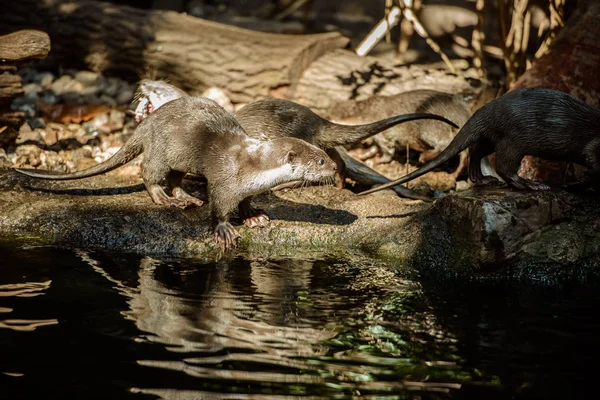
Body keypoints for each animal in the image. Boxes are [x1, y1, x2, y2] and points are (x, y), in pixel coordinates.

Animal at [15, 96, 338, 250]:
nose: (335, 167)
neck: (253, 166)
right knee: (149, 172)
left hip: (181, 158)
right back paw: (164, 198)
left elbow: (246, 201)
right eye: (321, 161)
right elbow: (219, 205)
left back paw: (185, 198)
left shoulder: (248, 186)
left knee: (176, 179)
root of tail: (147, 122)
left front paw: (252, 215)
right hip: (160, 149)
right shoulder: (225, 180)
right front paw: (224, 229)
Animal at [358, 88, 600, 196]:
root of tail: (487, 109)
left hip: (492, 137)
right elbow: (592, 161)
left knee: (476, 152)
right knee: (503, 166)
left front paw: (576, 185)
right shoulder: (595, 146)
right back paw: (531, 184)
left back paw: (482, 179)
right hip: (514, 139)